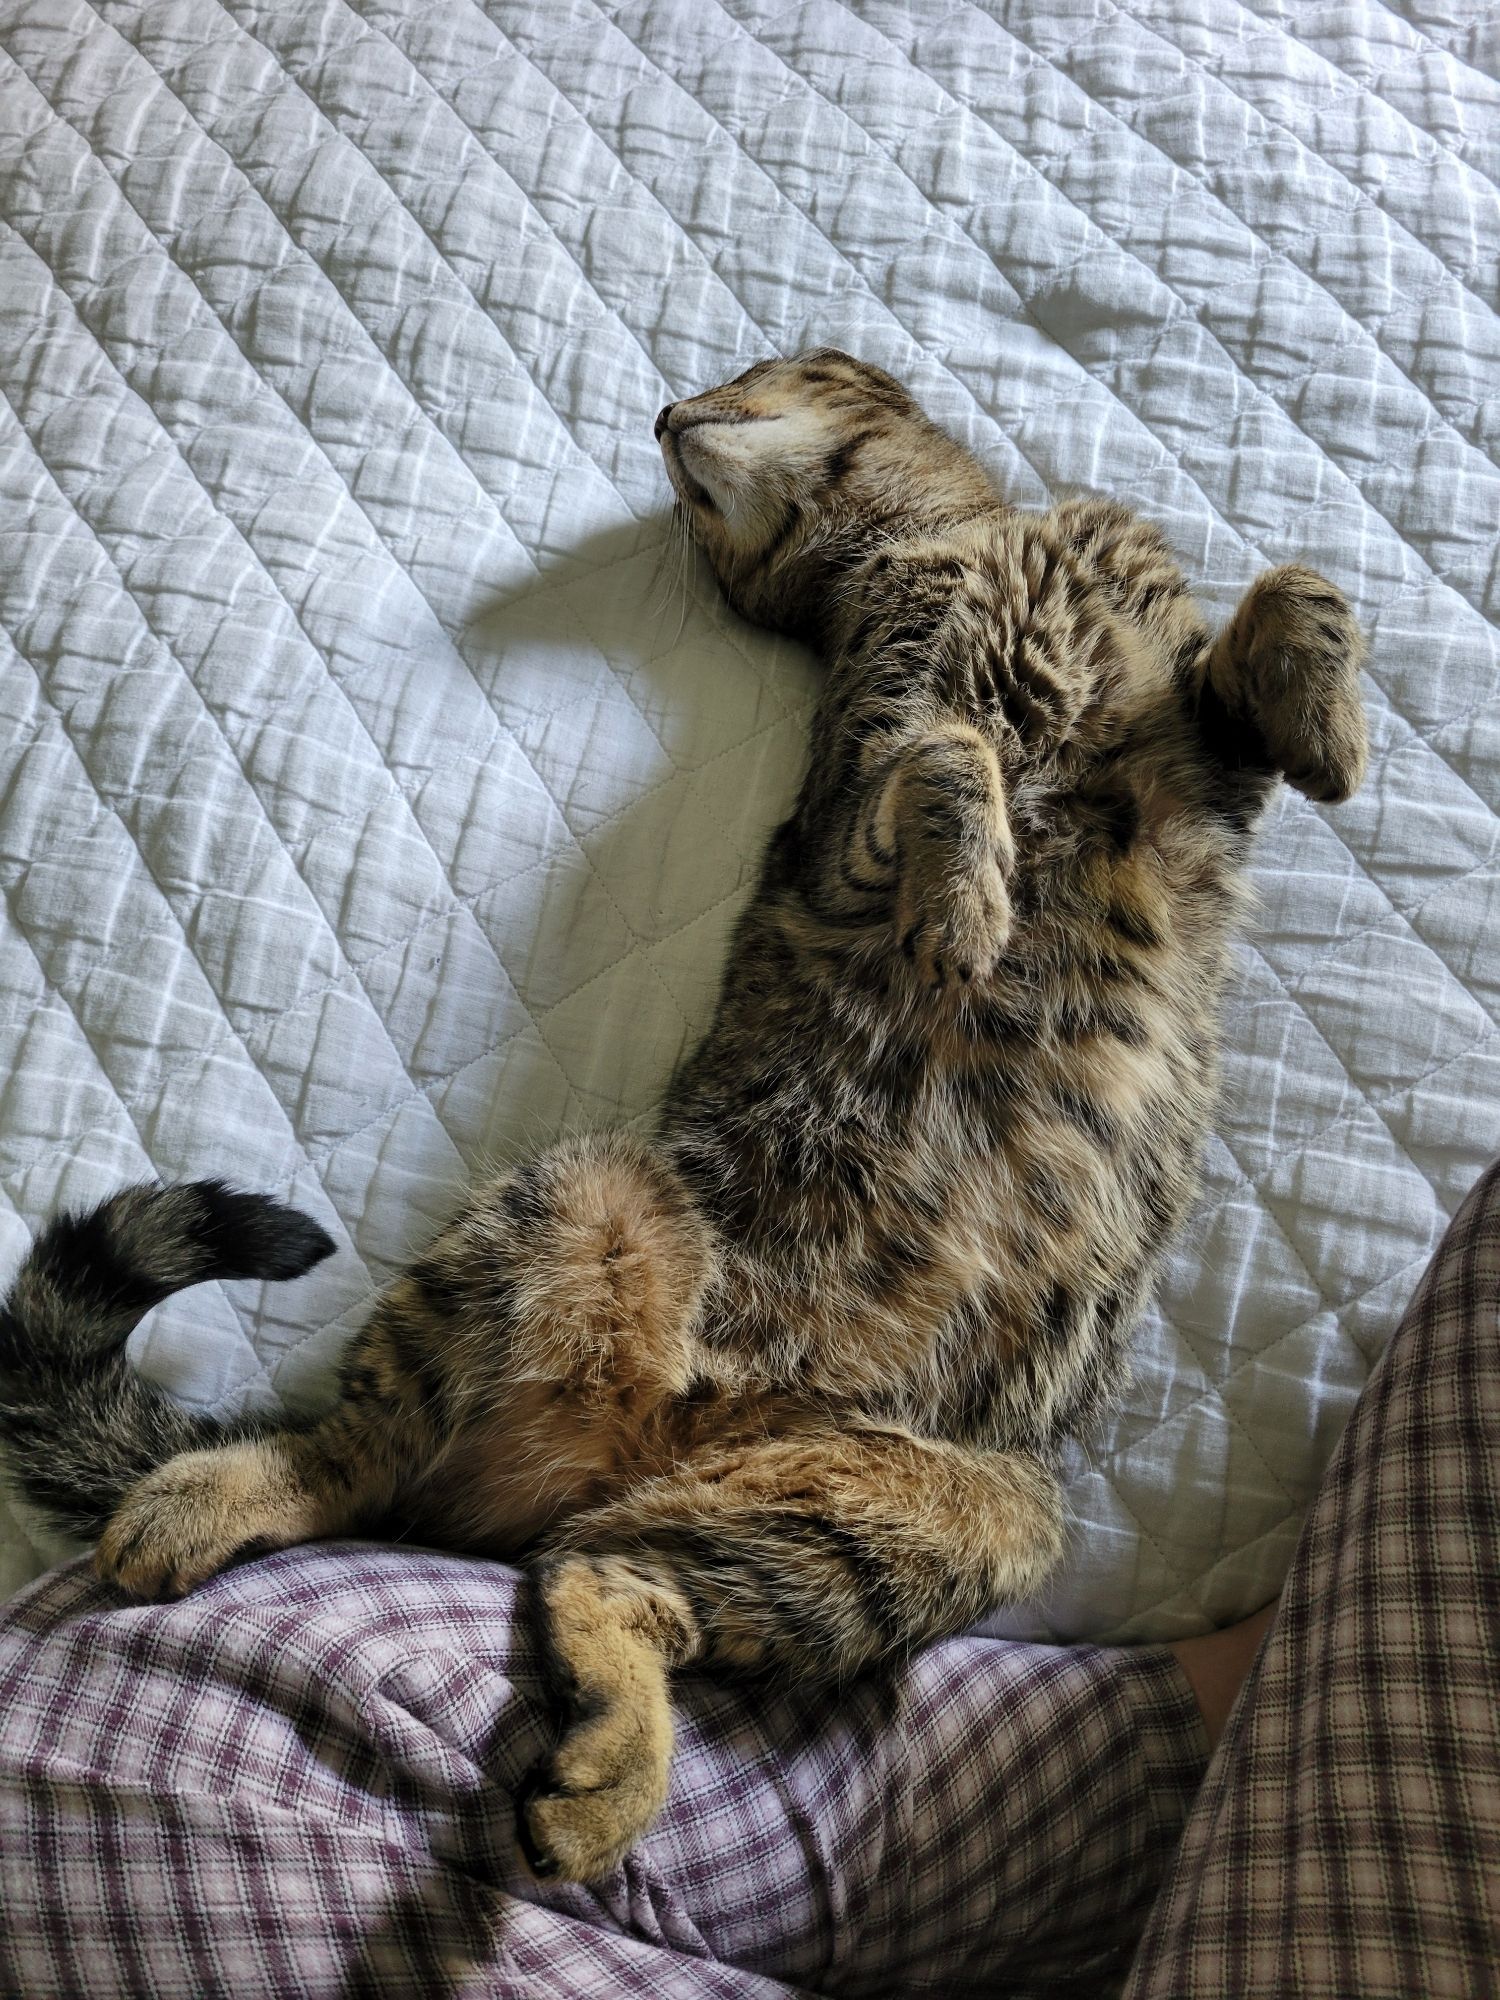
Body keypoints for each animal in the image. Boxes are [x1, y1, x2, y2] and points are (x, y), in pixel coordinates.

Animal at [0, 352, 1368, 1880]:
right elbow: (954, 754)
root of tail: (660, 1440)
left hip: (946, 1520)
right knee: (360, 1461)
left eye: (756, 372)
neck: (958, 537)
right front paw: (973, 906)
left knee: (599, 1575)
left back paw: (604, 1774)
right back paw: (206, 1503)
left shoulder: (1202, 751)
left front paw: (1333, 723)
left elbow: (1296, 589)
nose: (664, 413)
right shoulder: (859, 797)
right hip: (585, 1205)